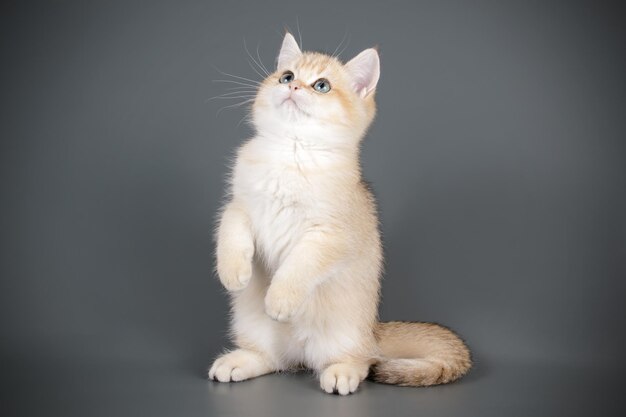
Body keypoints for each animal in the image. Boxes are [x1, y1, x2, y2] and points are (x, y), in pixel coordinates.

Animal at [207, 31, 470, 394]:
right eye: (286, 76)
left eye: (321, 85)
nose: (293, 86)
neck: (291, 151)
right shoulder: (239, 205)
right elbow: (230, 231)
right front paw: (233, 271)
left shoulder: (330, 235)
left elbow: (298, 267)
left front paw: (280, 300)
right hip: (252, 325)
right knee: (271, 358)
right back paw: (236, 362)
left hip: (344, 336)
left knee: (361, 360)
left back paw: (341, 374)